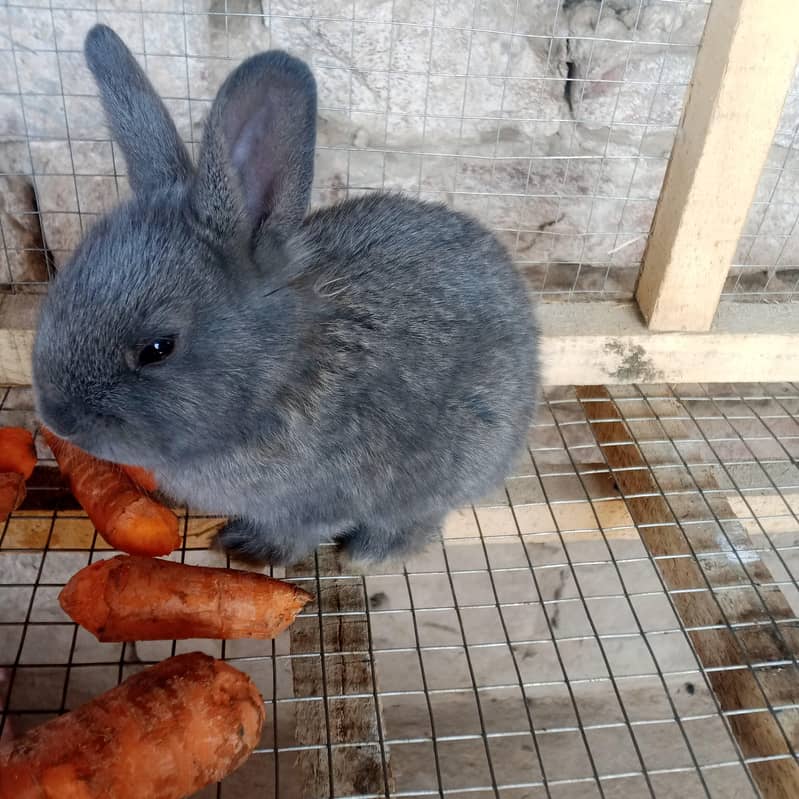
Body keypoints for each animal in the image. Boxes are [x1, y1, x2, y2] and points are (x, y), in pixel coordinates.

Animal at [32, 24, 539, 567]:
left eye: (157, 349)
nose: (58, 419)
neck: (278, 373)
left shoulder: (320, 502)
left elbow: (299, 531)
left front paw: (248, 549)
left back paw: (367, 554)